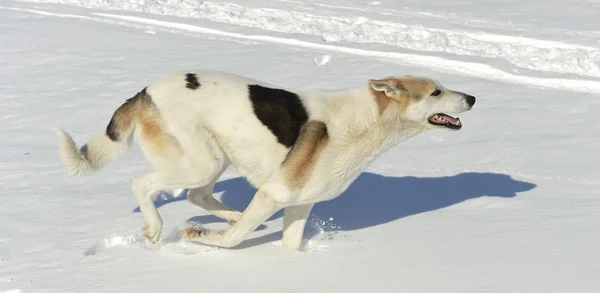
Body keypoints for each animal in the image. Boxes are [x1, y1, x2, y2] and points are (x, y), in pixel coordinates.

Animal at [52, 69, 474, 250]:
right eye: (436, 92)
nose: (471, 97)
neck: (367, 120)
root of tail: (145, 91)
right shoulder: (274, 193)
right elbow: (233, 241)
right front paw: (205, 238)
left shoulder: (299, 204)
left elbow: (289, 245)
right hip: (198, 163)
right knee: (141, 184)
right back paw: (156, 230)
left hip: (215, 157)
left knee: (196, 195)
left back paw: (231, 215)